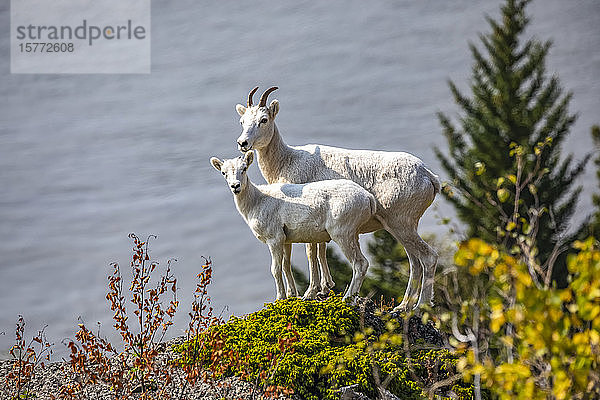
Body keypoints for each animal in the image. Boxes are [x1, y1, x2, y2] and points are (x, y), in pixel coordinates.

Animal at [211, 152, 376, 302]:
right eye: (224, 173)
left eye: (244, 168)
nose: (235, 186)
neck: (257, 201)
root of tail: (368, 198)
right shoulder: (285, 240)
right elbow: (286, 265)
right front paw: (292, 295)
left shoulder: (274, 239)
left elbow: (275, 269)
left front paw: (280, 298)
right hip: (353, 234)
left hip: (342, 233)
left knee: (360, 264)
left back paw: (348, 299)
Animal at [234, 86, 440, 312]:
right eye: (243, 121)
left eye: (263, 120)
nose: (243, 143)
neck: (287, 161)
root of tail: (428, 176)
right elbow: (320, 251)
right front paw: (325, 288)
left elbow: (311, 253)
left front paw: (310, 293)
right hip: (399, 227)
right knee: (414, 262)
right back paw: (403, 307)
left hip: (401, 224)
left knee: (427, 257)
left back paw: (421, 306)